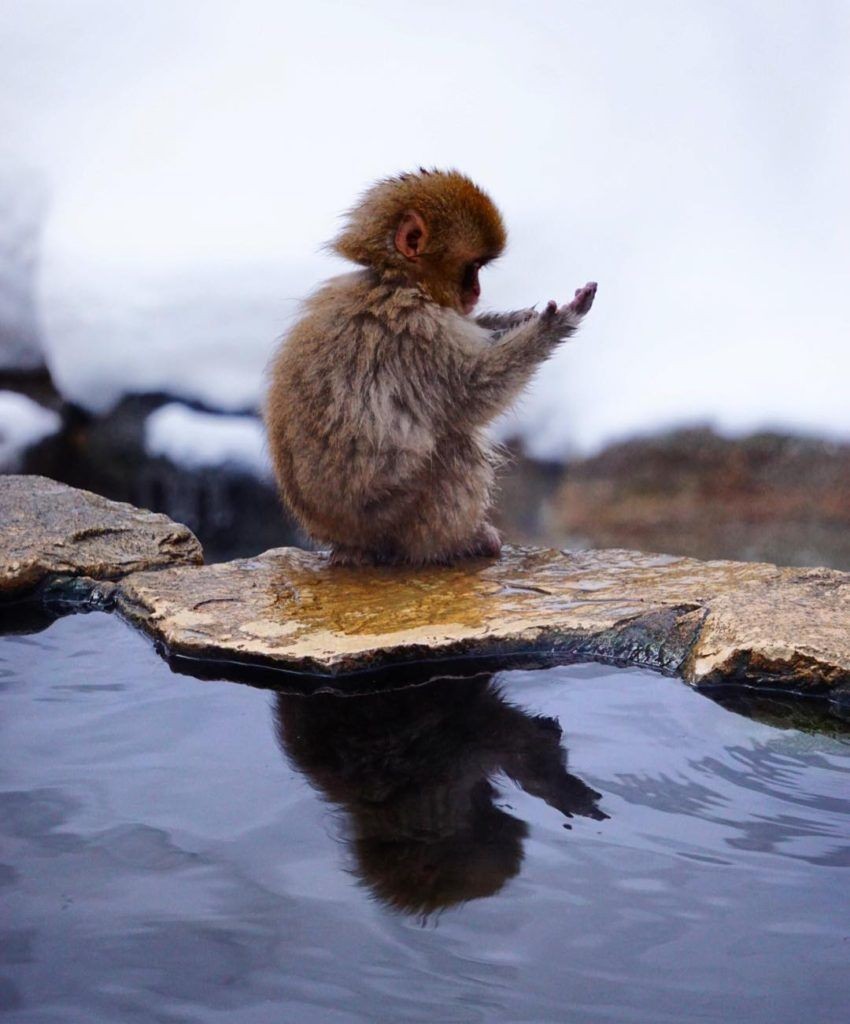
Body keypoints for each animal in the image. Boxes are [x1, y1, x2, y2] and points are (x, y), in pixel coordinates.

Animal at [264, 169, 593, 569]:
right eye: (473, 268)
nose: (476, 292)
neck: (394, 279)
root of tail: (340, 537)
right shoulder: (416, 331)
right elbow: (471, 393)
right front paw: (556, 323)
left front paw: (517, 318)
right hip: (397, 515)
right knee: (455, 444)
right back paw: (458, 543)